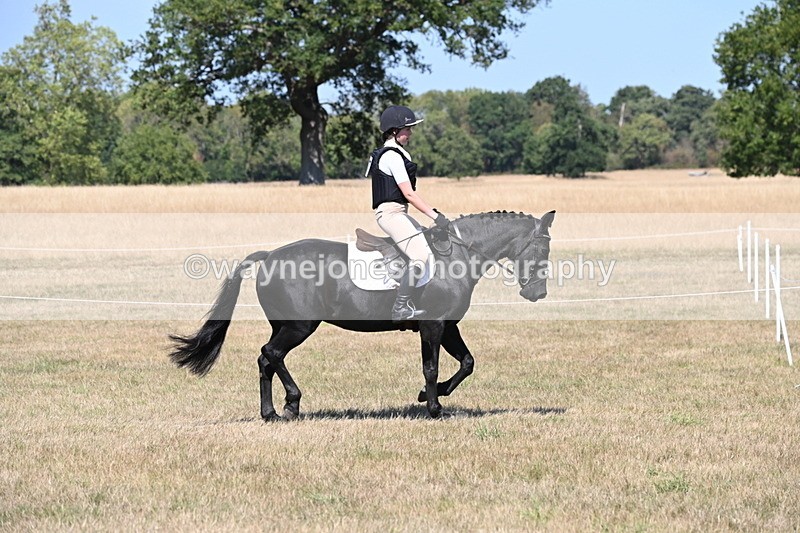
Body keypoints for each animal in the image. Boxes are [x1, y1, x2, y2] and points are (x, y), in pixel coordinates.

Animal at [169, 210, 555, 420]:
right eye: (542, 250)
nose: (537, 294)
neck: (458, 256)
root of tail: (270, 256)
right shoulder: (433, 325)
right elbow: (432, 367)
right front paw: (433, 408)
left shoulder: (448, 327)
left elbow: (467, 363)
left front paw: (428, 396)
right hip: (299, 326)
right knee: (272, 354)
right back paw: (291, 405)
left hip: (285, 325)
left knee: (266, 359)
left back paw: (272, 412)